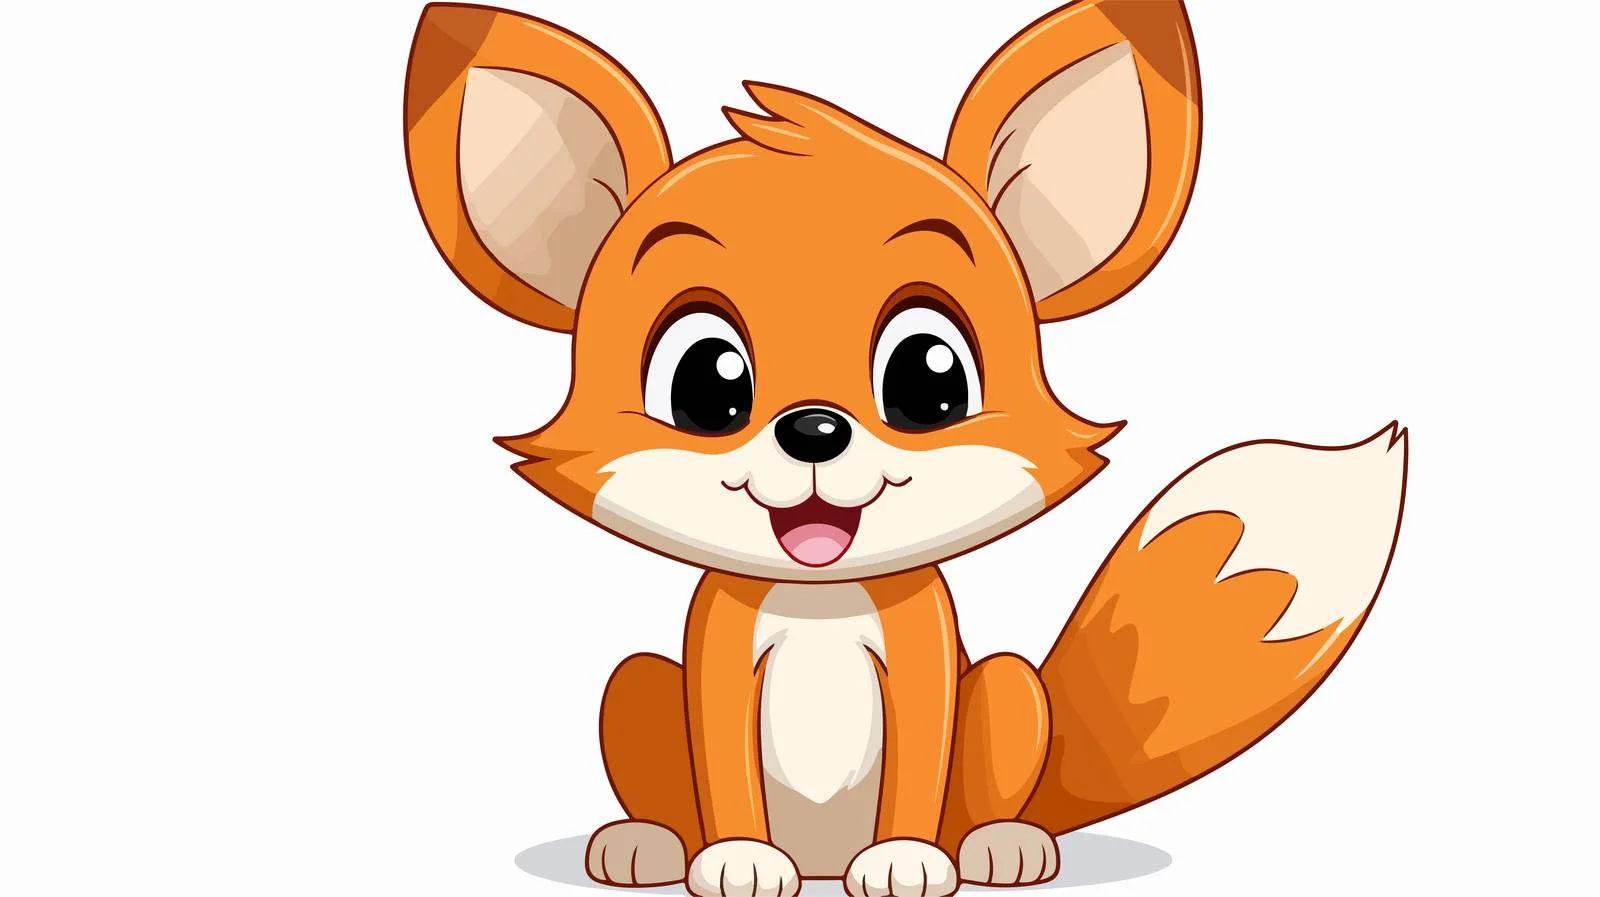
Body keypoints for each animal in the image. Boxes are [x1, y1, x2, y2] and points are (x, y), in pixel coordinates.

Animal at [403, 1, 1408, 895]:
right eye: (704, 384)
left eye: (929, 377)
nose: (813, 426)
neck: (820, 598)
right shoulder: (716, 658)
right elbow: (723, 761)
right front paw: (736, 861)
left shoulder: (926, 654)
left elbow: (921, 756)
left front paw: (904, 864)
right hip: (637, 686)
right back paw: (648, 844)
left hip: (1007, 690)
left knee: (993, 768)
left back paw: (1000, 844)